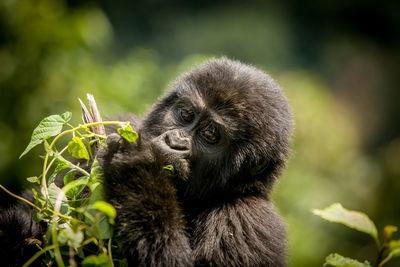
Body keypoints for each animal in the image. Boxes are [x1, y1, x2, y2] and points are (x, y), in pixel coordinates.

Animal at [98, 57, 292, 266]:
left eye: (210, 135)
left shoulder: (245, 220)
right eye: (187, 115)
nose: (175, 141)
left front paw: (136, 166)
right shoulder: (118, 127)